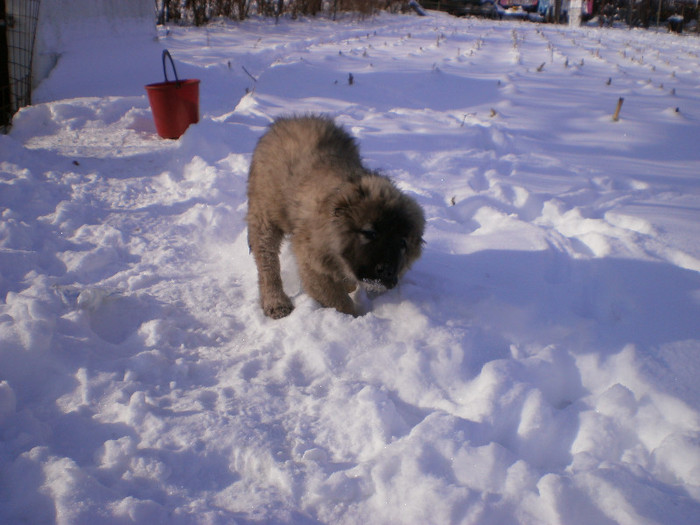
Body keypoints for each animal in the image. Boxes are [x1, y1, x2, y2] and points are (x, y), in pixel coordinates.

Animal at [246, 114, 424, 318]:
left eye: (403, 243)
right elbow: (339, 301)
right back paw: (276, 302)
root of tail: (287, 120)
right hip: (265, 215)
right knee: (267, 261)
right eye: (370, 233)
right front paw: (353, 317)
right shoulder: (312, 262)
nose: (386, 271)